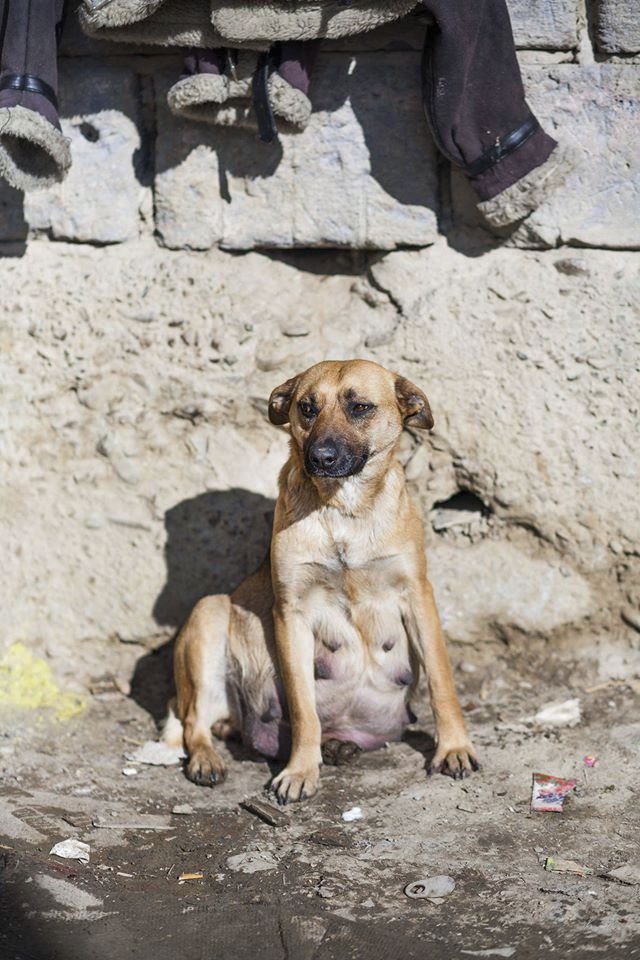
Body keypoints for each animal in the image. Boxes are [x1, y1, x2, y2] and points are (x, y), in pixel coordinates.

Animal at [165, 360, 480, 804]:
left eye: (360, 406)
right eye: (306, 408)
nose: (320, 457)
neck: (343, 510)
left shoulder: (418, 595)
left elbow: (442, 682)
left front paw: (453, 747)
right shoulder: (291, 613)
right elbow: (303, 709)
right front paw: (300, 770)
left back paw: (336, 746)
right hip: (208, 612)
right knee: (194, 722)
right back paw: (209, 759)